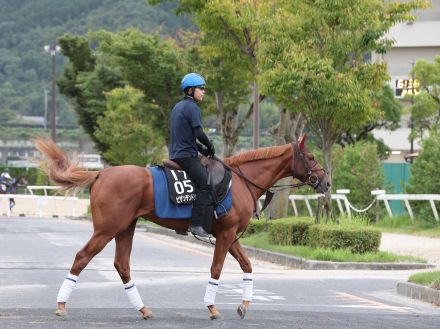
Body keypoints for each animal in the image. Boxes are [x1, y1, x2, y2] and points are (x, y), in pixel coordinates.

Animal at [35, 133, 330, 318]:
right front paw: (212, 307)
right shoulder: (226, 234)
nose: (326, 183)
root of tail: (101, 173)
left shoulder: (230, 235)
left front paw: (244, 305)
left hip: (126, 227)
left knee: (122, 265)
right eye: (311, 157)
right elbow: (217, 268)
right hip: (107, 229)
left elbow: (247, 266)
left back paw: (143, 309)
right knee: (82, 257)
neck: (241, 180)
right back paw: (61, 305)